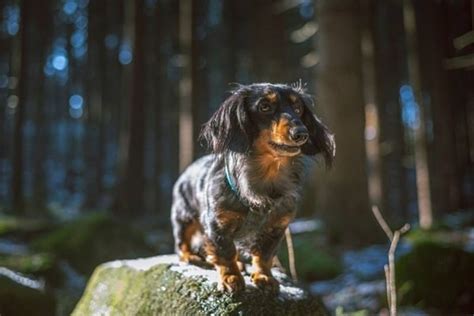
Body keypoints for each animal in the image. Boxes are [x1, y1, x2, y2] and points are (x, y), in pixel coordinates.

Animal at [170, 82, 334, 292]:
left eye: (298, 108)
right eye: (264, 106)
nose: (301, 134)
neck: (265, 179)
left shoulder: (276, 227)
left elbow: (264, 255)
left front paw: (264, 277)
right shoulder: (217, 224)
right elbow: (225, 252)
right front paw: (231, 277)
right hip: (184, 217)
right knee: (181, 244)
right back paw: (191, 256)